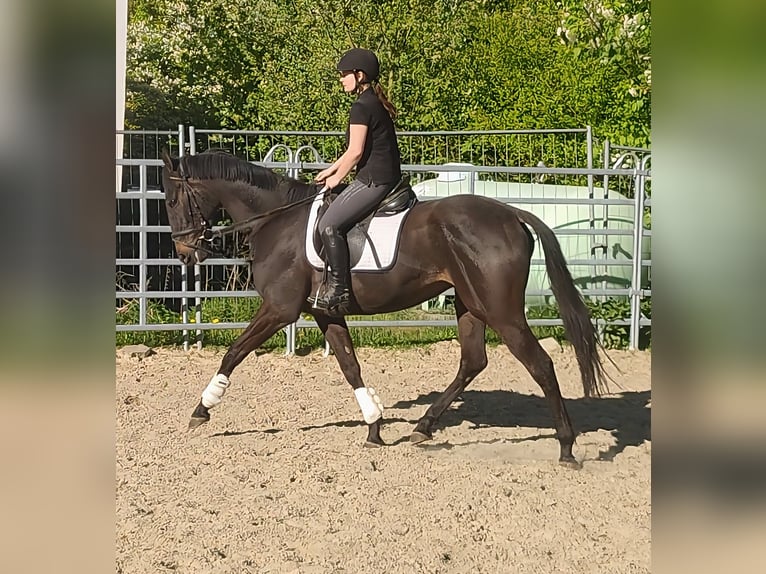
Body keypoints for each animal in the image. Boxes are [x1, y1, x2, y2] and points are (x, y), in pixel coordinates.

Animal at [160, 149, 608, 467]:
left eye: (172, 198)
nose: (185, 253)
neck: (276, 222)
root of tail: (512, 214)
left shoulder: (279, 309)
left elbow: (234, 352)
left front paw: (201, 410)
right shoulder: (325, 311)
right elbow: (349, 365)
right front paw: (374, 426)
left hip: (502, 311)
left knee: (540, 364)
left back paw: (566, 446)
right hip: (470, 305)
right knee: (473, 361)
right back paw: (424, 427)